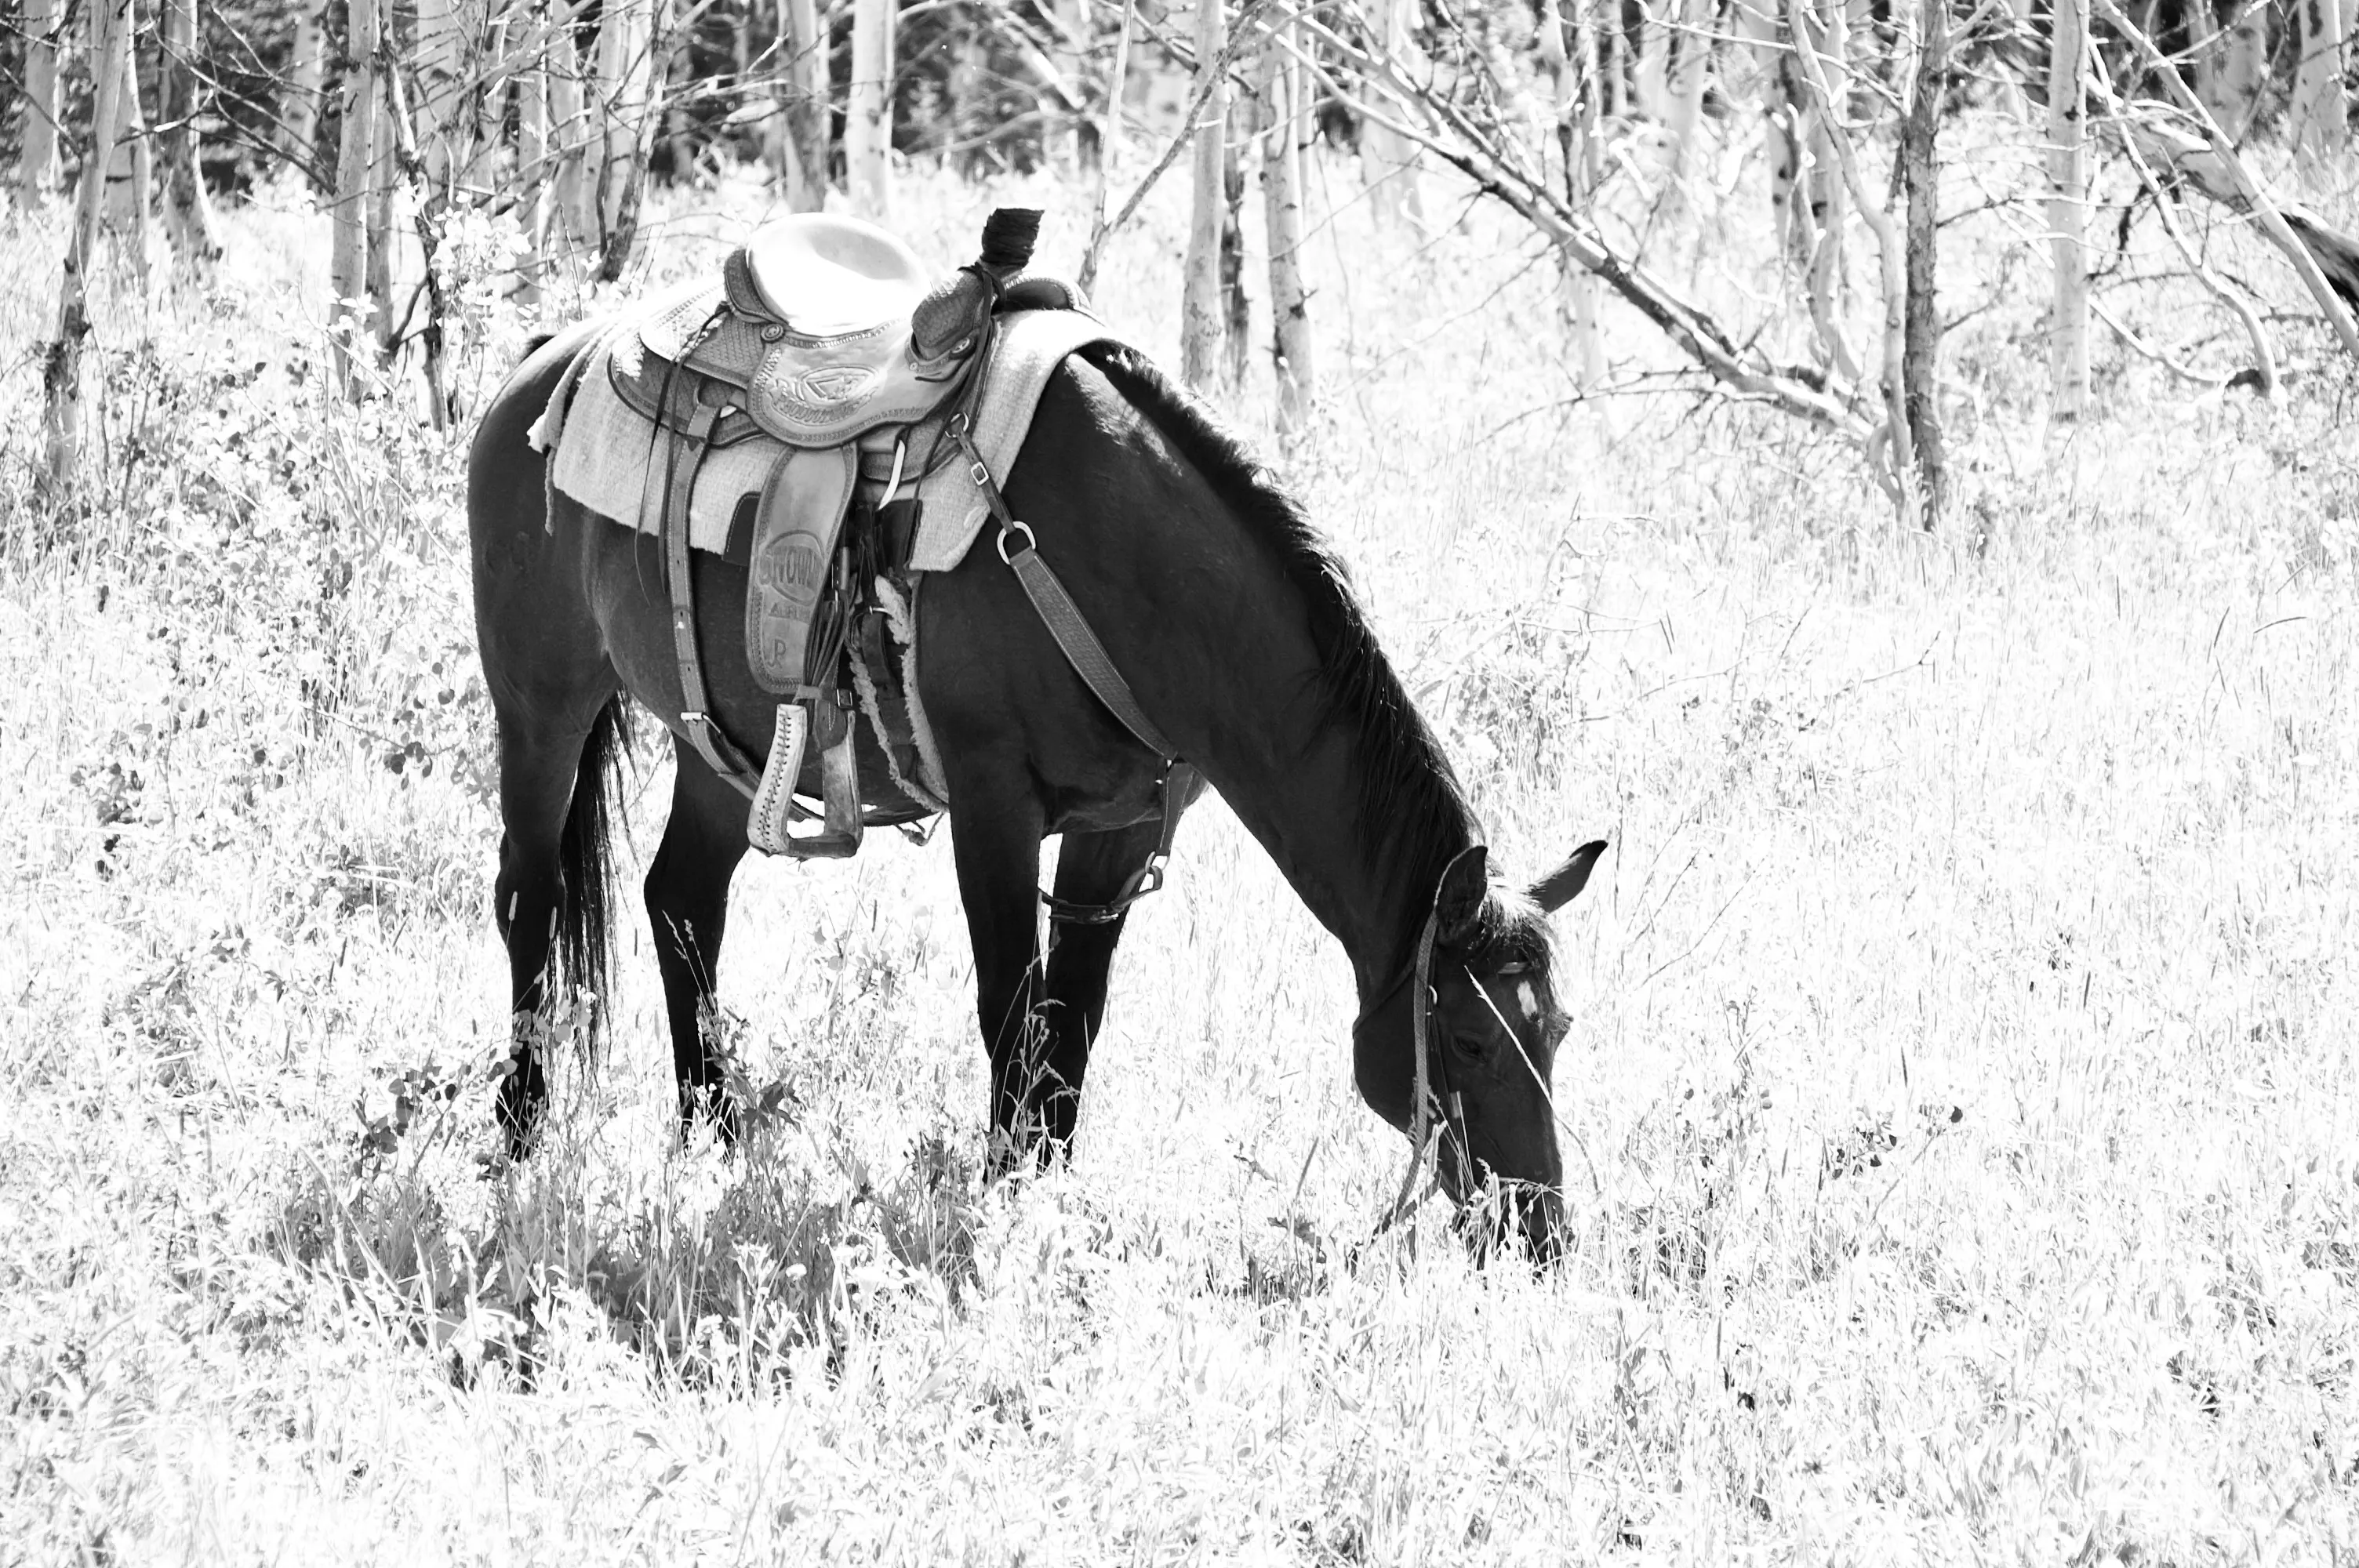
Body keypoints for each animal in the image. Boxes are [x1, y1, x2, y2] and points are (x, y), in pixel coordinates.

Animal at [467, 320, 1607, 1260]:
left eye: (1555, 1031)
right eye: (1469, 1037)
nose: (1541, 1231)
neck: (1129, 565)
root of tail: (543, 363)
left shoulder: (1123, 829)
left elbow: (1072, 1022)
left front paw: (1049, 1194)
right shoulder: (993, 806)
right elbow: (1011, 1013)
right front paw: (1003, 1196)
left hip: (720, 744)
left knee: (682, 904)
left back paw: (715, 1145)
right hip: (541, 706)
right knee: (531, 899)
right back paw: (520, 1135)